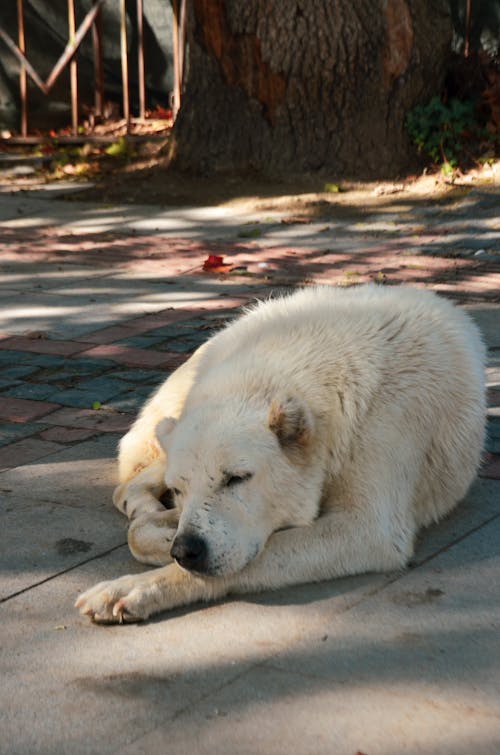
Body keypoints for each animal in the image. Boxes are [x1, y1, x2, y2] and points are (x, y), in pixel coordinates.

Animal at [76, 286, 486, 624]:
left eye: (237, 478)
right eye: (180, 488)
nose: (186, 550)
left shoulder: (370, 524)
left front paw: (136, 586)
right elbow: (143, 532)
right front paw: (162, 539)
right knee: (132, 481)